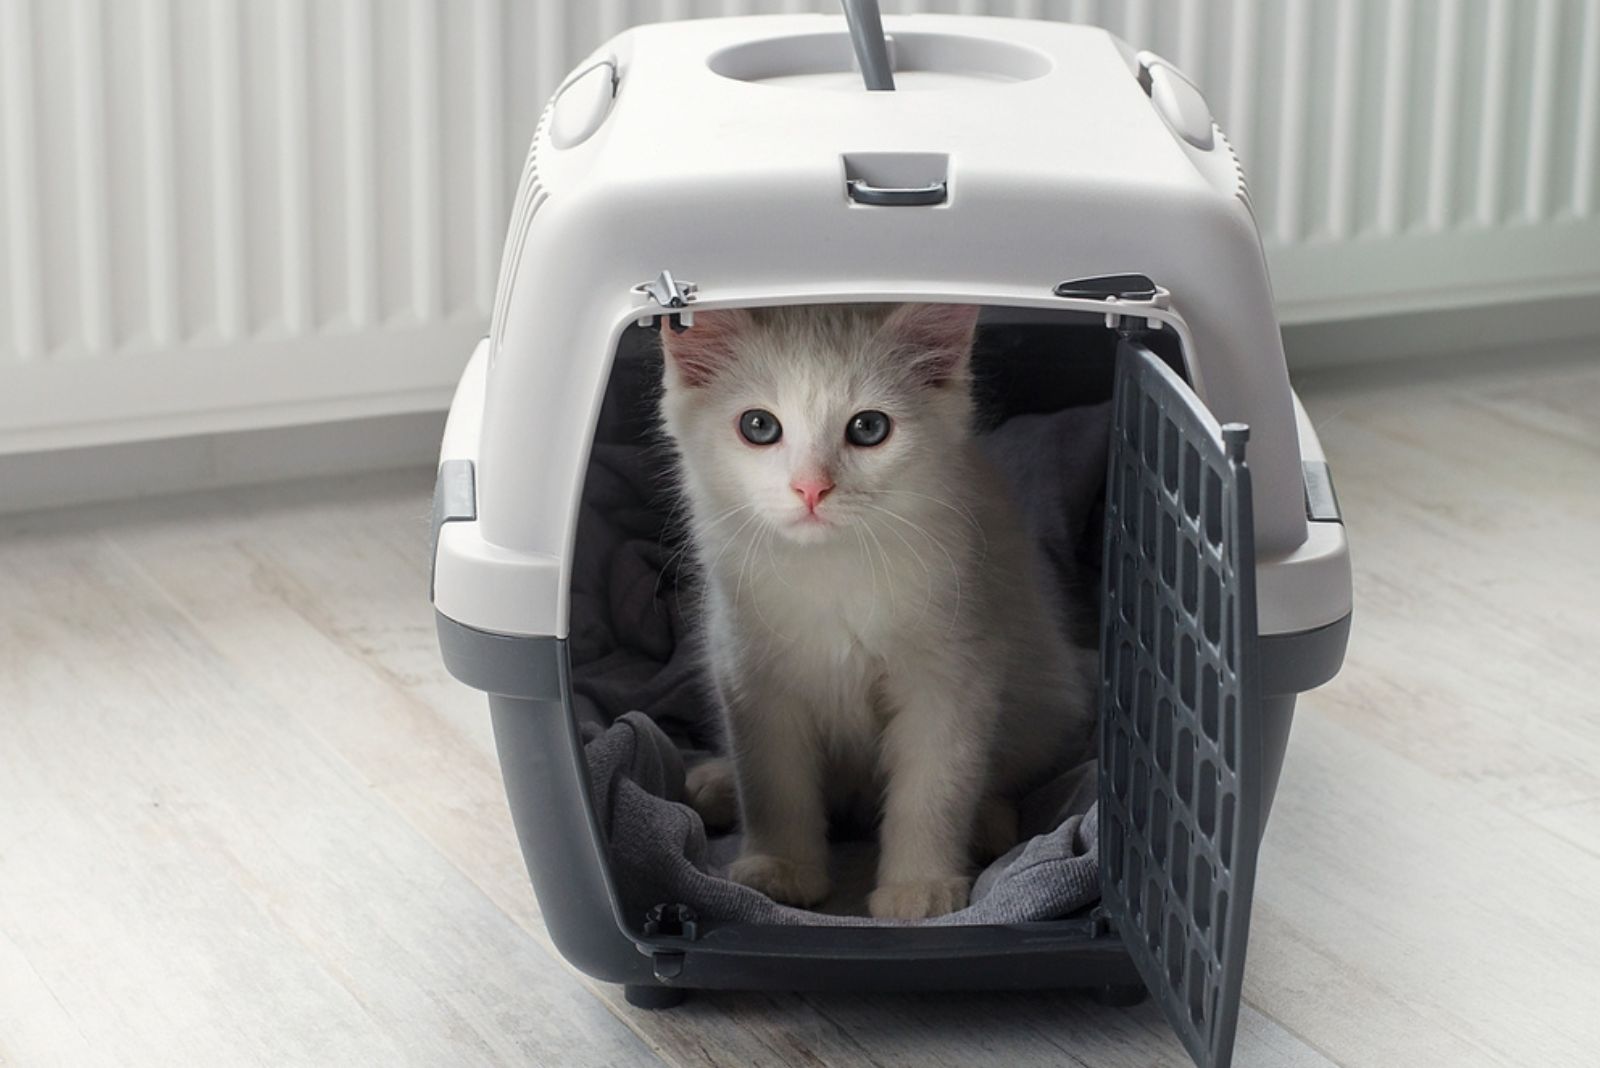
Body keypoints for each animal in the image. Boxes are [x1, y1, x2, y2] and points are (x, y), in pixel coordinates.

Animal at [656, 300, 1094, 920]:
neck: (832, 569)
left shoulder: (954, 675)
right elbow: (773, 785)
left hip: (1045, 692)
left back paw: (988, 823)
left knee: (1006, 770)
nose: (811, 489)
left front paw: (921, 887)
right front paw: (780, 868)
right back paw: (717, 782)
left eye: (868, 428)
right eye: (759, 426)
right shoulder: (750, 676)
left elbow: (934, 790)